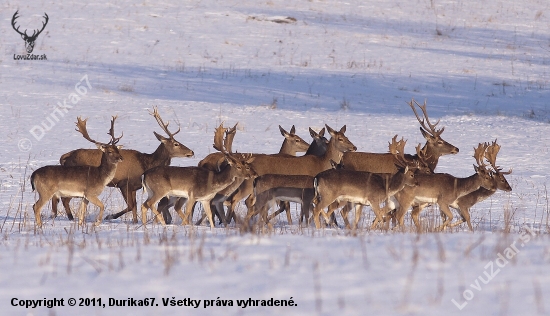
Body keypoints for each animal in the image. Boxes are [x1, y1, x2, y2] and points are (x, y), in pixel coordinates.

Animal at [51, 107, 194, 223]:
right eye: (176, 144)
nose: (191, 152)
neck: (146, 163)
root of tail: (65, 157)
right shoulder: (124, 183)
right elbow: (131, 206)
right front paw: (110, 216)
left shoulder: (134, 187)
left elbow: (135, 206)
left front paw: (135, 221)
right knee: (64, 199)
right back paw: (70, 218)